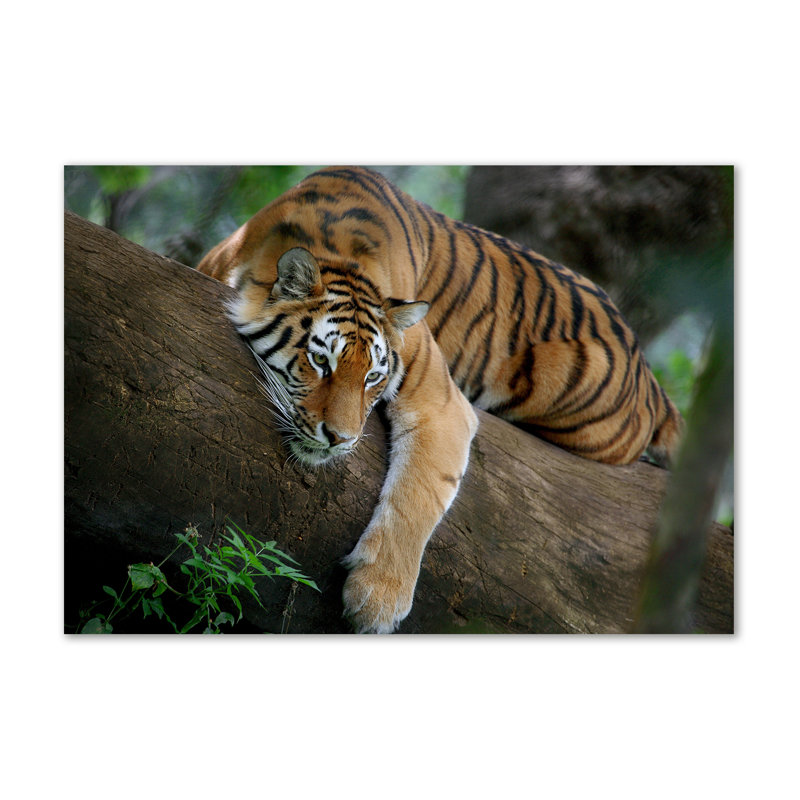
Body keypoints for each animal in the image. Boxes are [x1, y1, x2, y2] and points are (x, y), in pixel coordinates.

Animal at [197, 166, 683, 633]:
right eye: (321, 361)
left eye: (373, 377)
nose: (341, 439)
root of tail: (647, 370)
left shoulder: (441, 402)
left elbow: (418, 495)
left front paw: (377, 601)